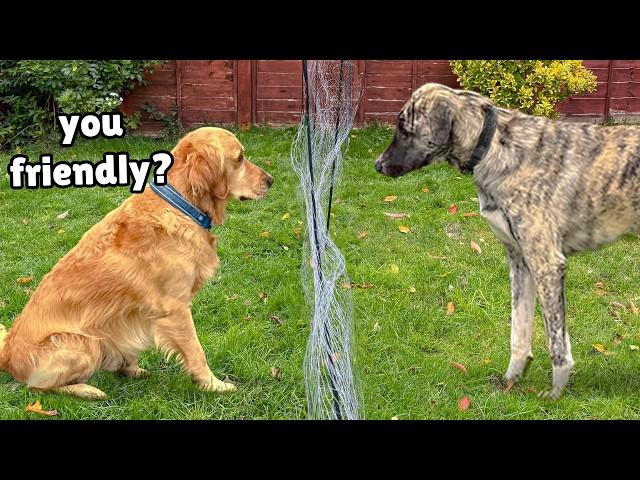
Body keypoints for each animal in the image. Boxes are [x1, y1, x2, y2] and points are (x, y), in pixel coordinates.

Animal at [376, 83, 640, 402]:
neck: (494, 147)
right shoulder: (520, 262)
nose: (378, 166)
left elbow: (556, 342)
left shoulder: (547, 264)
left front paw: (556, 393)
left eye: (404, 128)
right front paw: (511, 380)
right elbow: (520, 331)